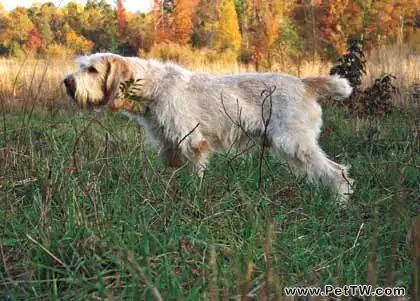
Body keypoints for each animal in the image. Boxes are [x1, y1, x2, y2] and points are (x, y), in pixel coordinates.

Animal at [64, 52, 354, 200]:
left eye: (92, 70)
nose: (66, 82)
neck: (155, 86)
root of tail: (305, 83)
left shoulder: (193, 144)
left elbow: (194, 177)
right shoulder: (170, 147)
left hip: (294, 143)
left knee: (337, 172)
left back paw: (339, 202)